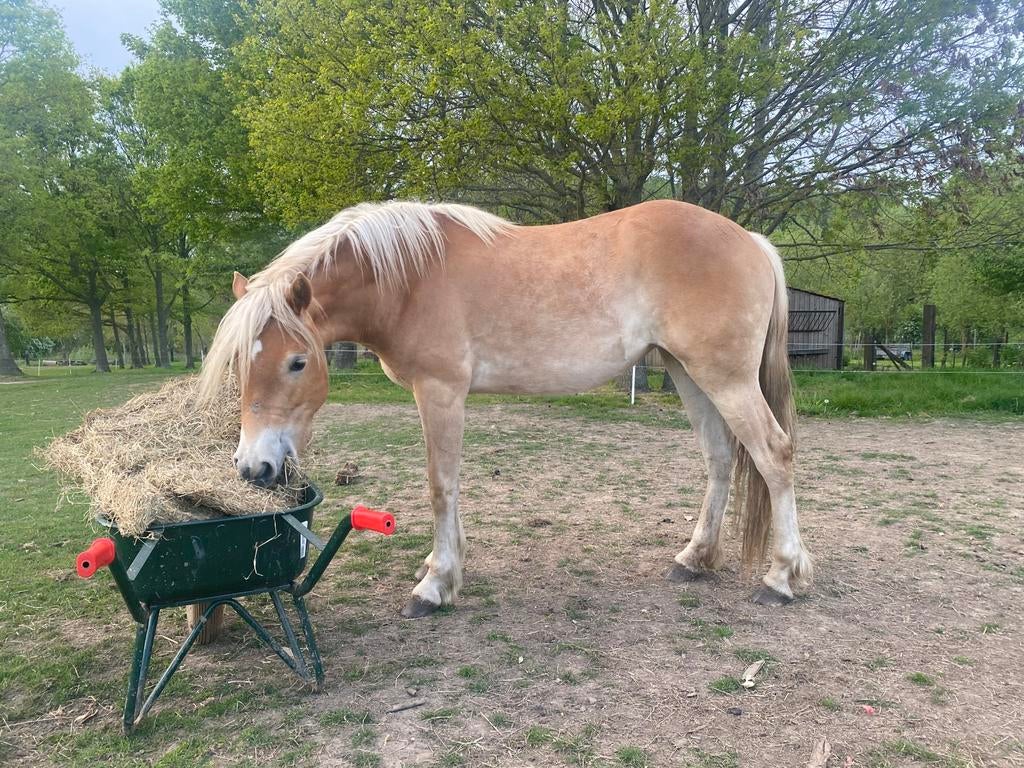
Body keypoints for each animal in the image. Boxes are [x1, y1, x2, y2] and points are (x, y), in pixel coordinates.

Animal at [199, 199, 812, 618]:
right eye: (240, 364)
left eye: (297, 362)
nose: (253, 467)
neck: (409, 279)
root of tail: (751, 241)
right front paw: (442, 568)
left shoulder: (440, 391)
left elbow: (441, 484)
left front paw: (435, 586)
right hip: (690, 374)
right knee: (720, 459)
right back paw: (694, 560)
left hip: (725, 379)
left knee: (774, 454)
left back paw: (782, 577)